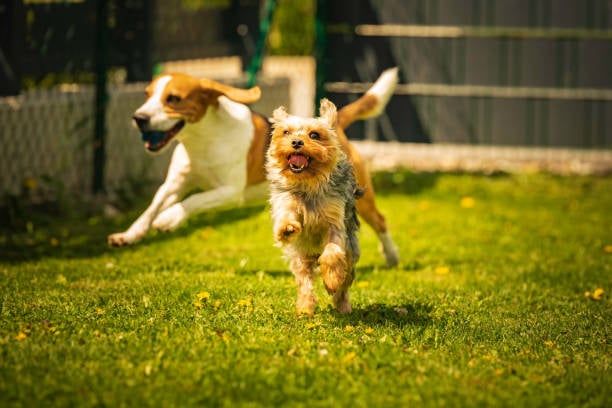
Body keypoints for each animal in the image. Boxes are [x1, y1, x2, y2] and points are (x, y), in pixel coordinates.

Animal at [266, 99, 360, 316]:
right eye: (286, 132)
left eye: (314, 135)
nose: (296, 142)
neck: (307, 184)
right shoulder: (285, 199)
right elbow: (286, 215)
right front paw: (286, 229)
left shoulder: (335, 221)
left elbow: (332, 253)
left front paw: (331, 280)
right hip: (300, 257)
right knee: (304, 280)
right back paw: (304, 308)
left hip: (351, 252)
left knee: (345, 280)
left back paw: (343, 305)